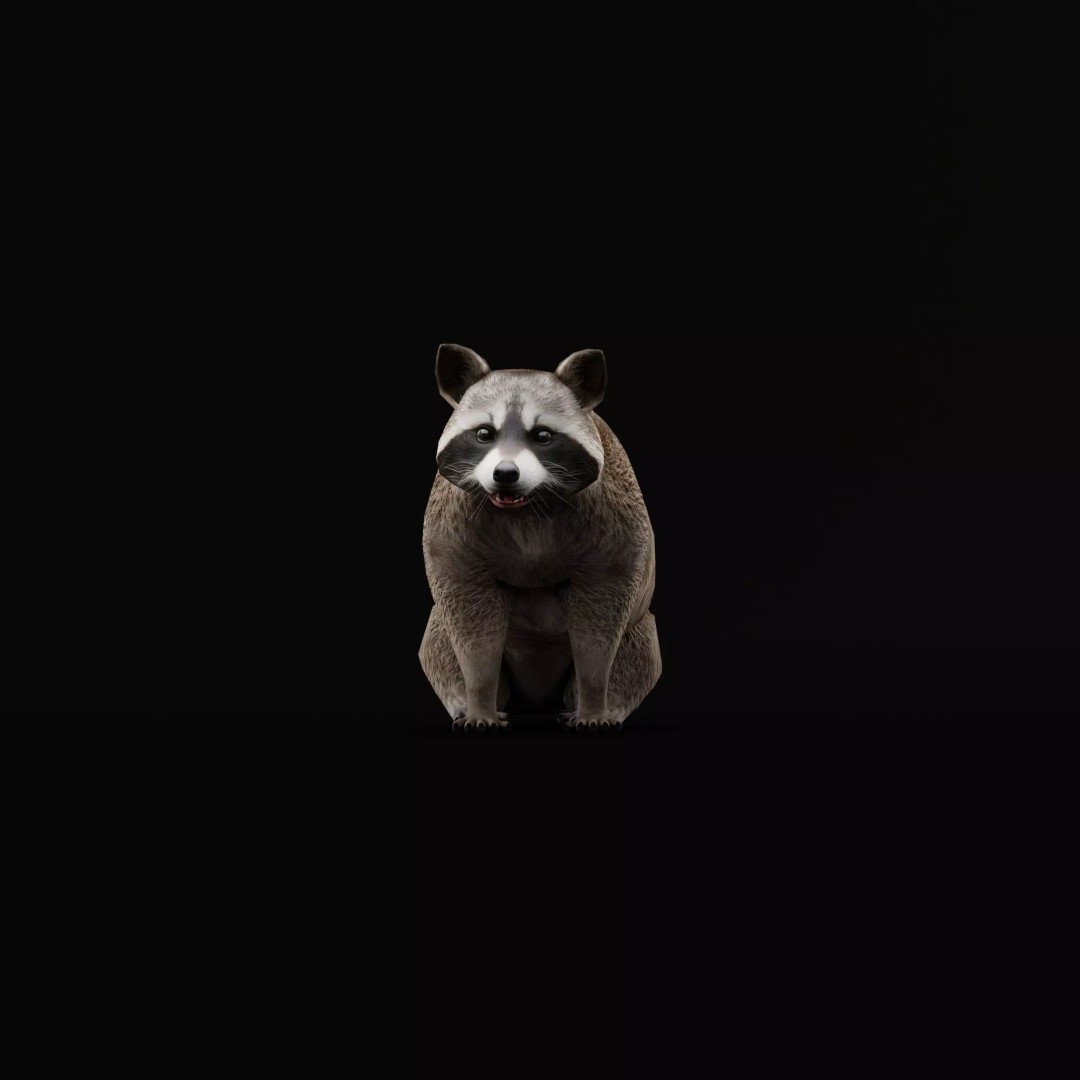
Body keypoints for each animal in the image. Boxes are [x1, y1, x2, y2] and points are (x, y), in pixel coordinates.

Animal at [420, 344, 661, 731]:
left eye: (543, 436)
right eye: (484, 433)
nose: (505, 473)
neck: (526, 506)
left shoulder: (614, 518)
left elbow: (600, 622)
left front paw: (593, 704)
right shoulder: (452, 523)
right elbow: (471, 623)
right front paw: (479, 703)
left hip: (640, 632)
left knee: (635, 655)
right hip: (440, 631)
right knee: (440, 641)